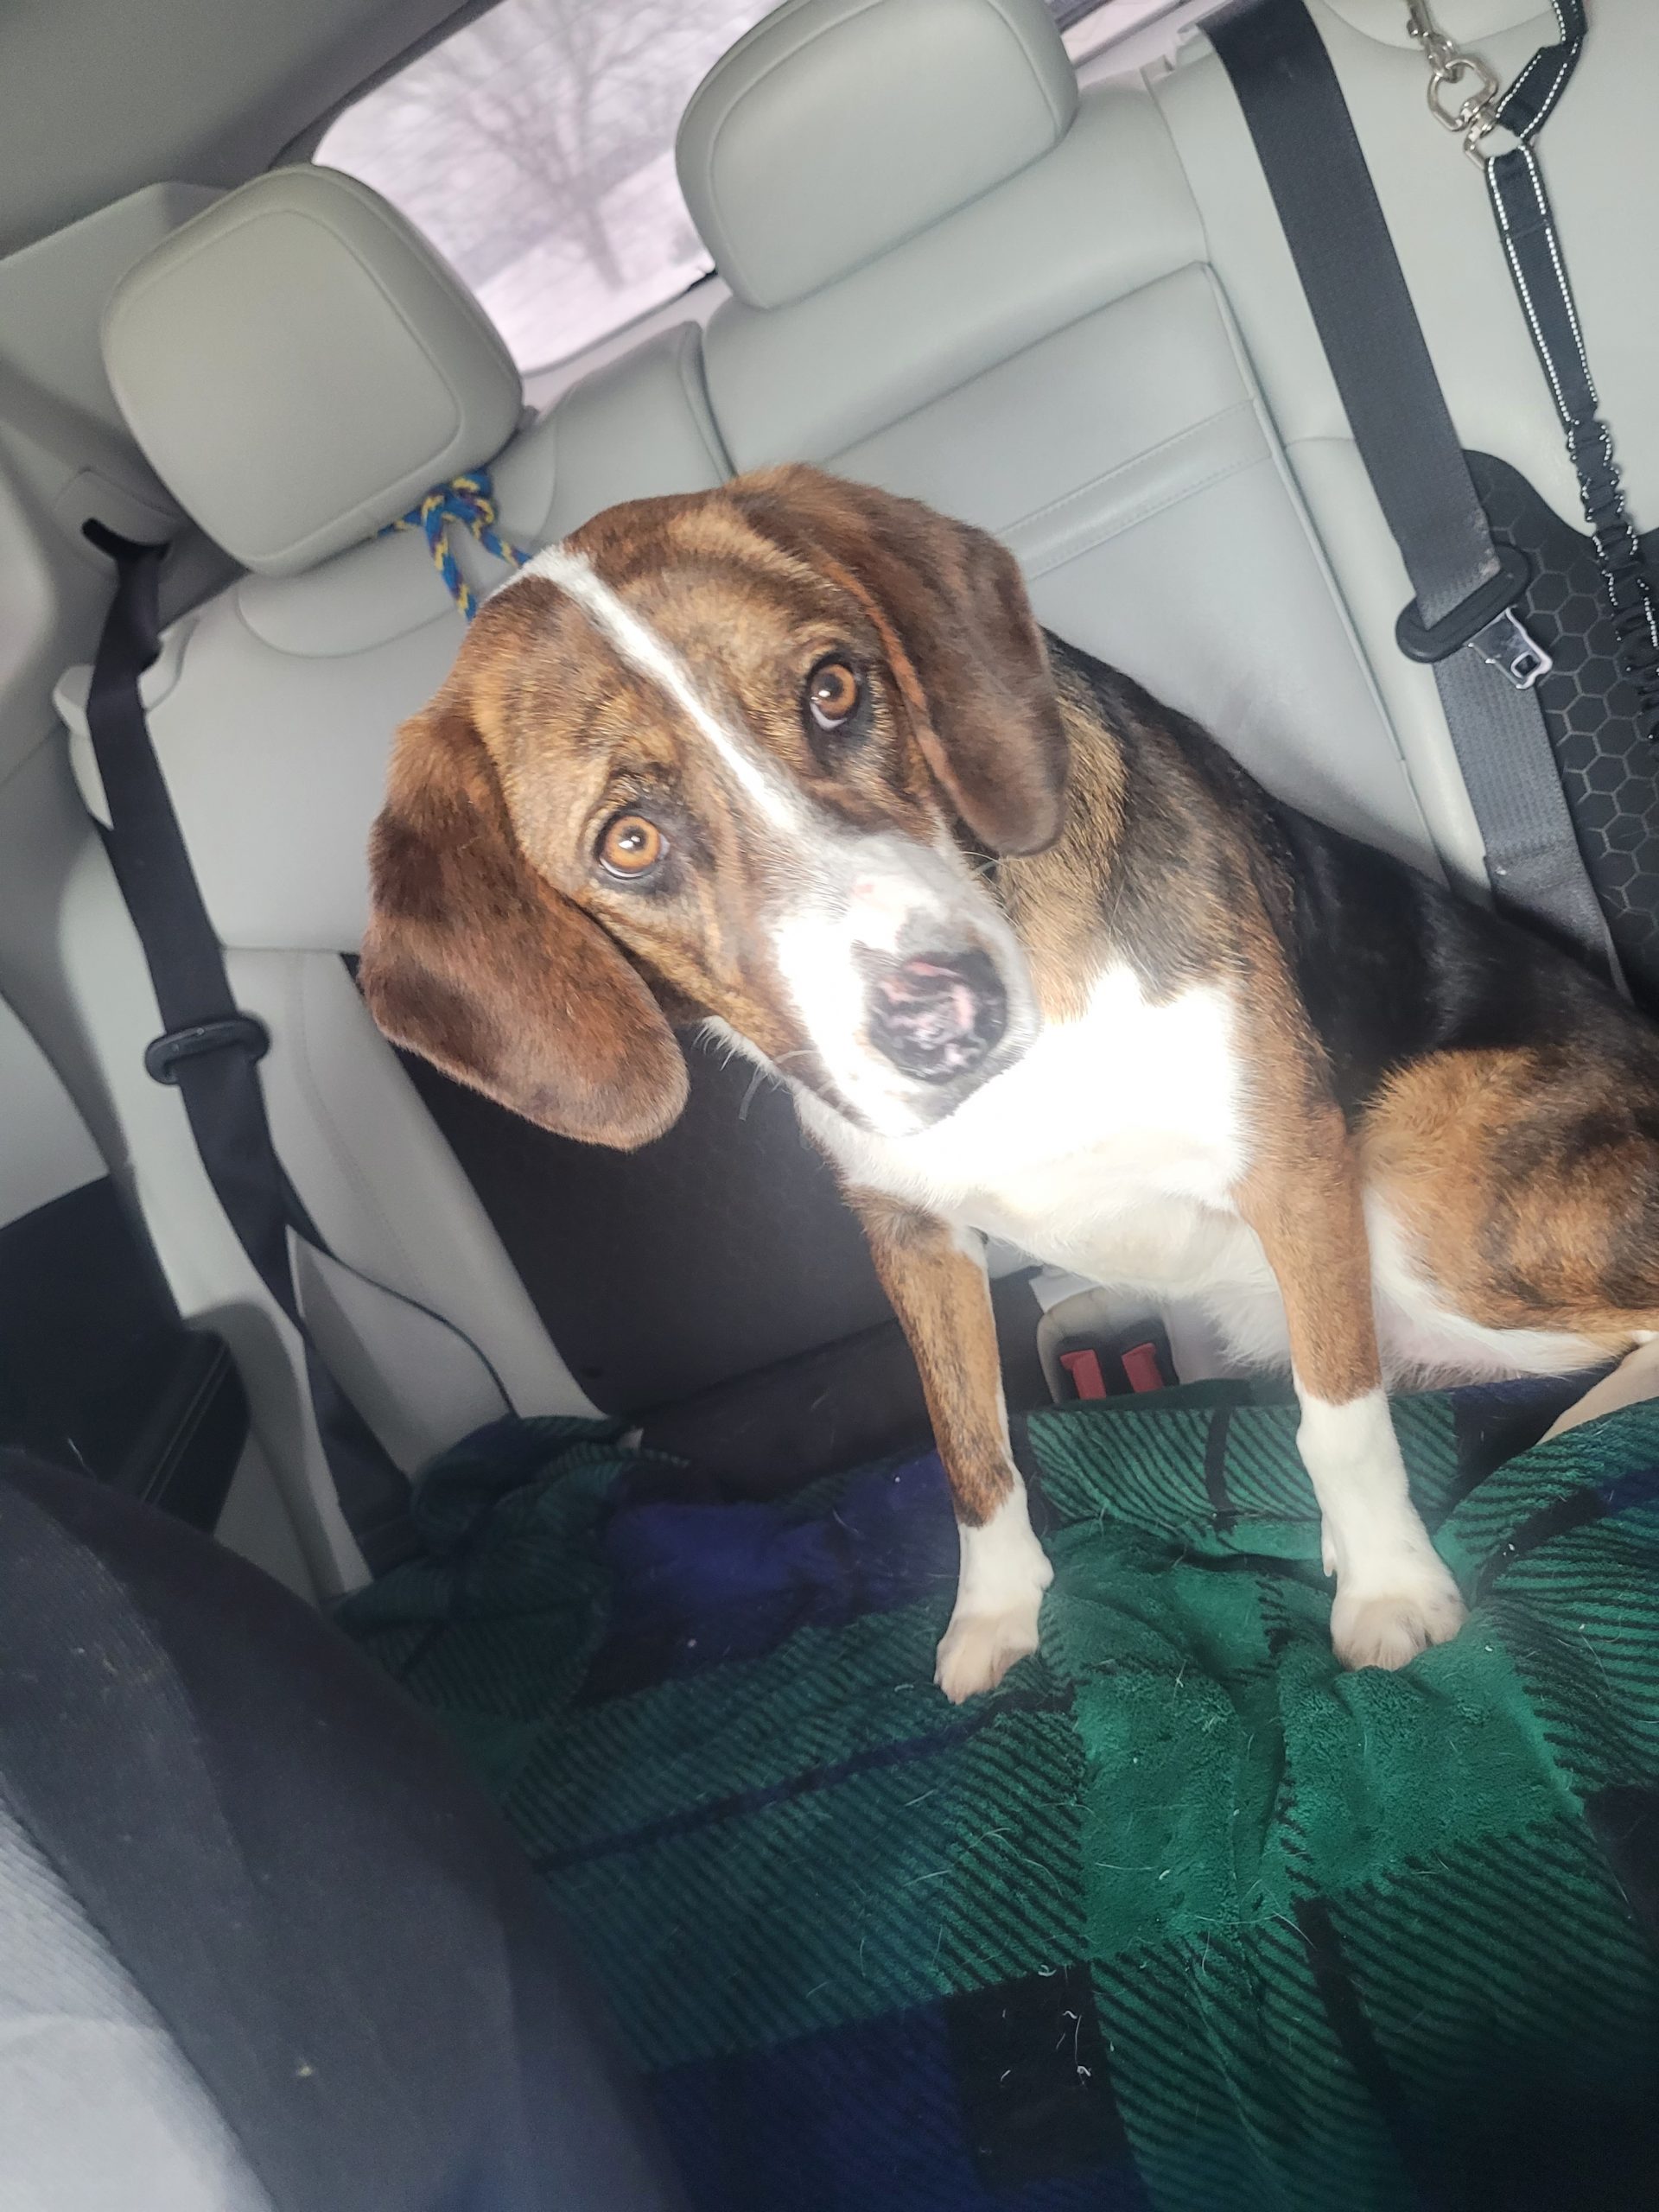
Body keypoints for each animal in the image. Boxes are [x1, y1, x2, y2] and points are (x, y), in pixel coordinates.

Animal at [360, 465, 1659, 1702]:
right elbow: (969, 1451)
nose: (946, 1015)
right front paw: (996, 1616)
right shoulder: (911, 1232)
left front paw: (1387, 1588)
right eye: (628, 843)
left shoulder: (1291, 1158)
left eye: (835, 690)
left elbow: (1335, 1415)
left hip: (1416, 1179)